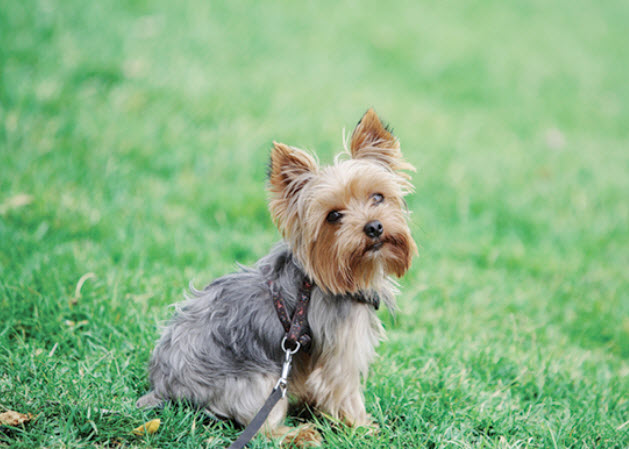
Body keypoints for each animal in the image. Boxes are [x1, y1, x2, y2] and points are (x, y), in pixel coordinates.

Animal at [140, 109, 420, 444]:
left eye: (378, 197)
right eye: (334, 216)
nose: (374, 227)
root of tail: (164, 386)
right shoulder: (341, 352)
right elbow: (345, 392)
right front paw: (363, 428)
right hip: (259, 381)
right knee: (262, 428)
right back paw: (299, 433)